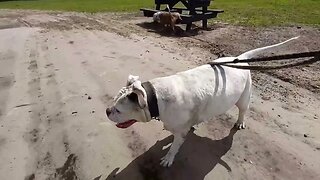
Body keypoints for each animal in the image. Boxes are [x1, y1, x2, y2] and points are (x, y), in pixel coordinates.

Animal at [106, 36, 298, 167]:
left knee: (243, 110)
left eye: (118, 110)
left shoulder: (179, 132)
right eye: (113, 104)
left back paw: (240, 121)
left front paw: (168, 158)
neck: (156, 98)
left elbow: (174, 147)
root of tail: (239, 58)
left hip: (244, 97)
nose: (107, 111)